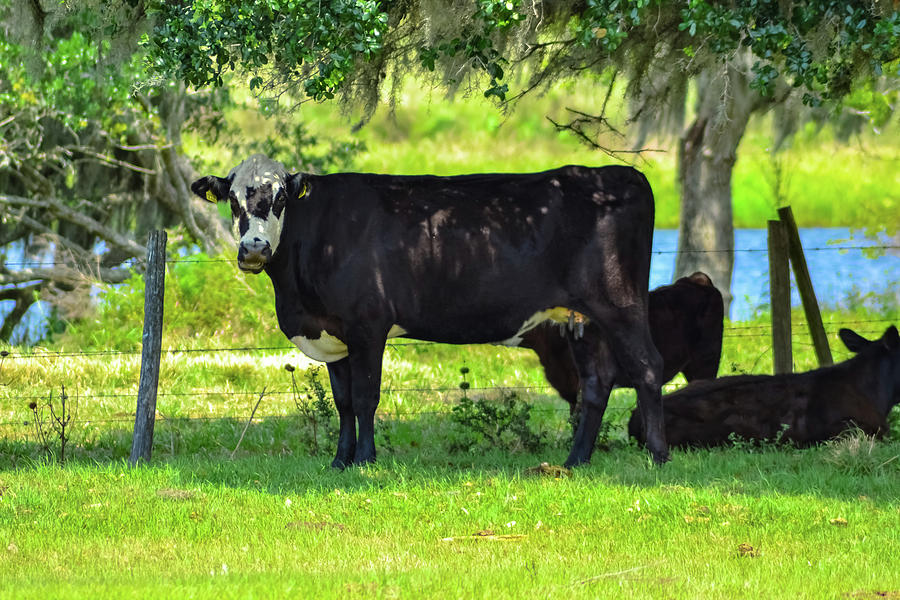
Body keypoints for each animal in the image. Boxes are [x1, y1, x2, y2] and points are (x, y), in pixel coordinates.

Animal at [192, 152, 668, 466]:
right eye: (233, 201)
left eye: (280, 200)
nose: (255, 247)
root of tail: (618, 174)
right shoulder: (332, 333)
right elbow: (343, 402)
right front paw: (340, 461)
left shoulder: (368, 325)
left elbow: (365, 397)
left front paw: (365, 460)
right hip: (582, 319)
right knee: (596, 383)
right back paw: (575, 462)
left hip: (621, 304)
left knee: (647, 367)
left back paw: (659, 456)